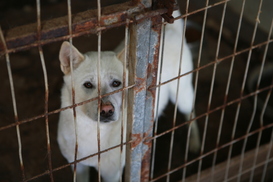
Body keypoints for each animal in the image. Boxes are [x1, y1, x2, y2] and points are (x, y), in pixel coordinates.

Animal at [56, 10, 199, 182]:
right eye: (88, 85)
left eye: (116, 83)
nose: (106, 110)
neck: (93, 133)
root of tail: (169, 30)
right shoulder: (78, 167)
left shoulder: (112, 174)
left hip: (182, 94)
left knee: (191, 113)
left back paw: (194, 141)